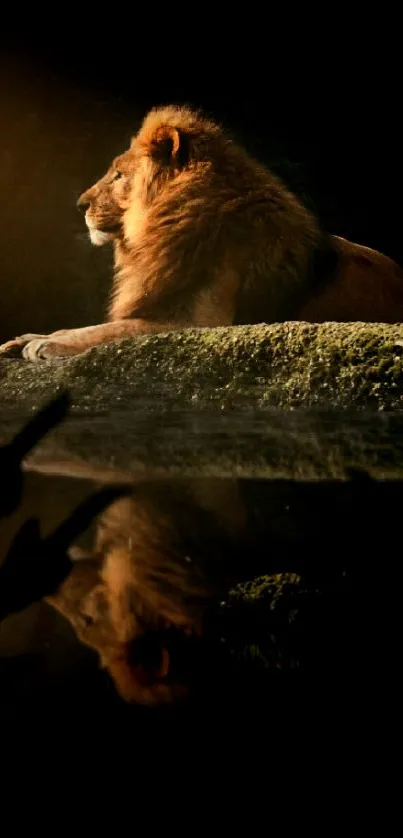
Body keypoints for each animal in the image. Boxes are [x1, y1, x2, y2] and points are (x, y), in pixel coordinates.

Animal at [0, 104, 403, 360]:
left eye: (118, 175)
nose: (80, 204)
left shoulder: (203, 324)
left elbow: (112, 330)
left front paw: (48, 343)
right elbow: (105, 325)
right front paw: (29, 337)